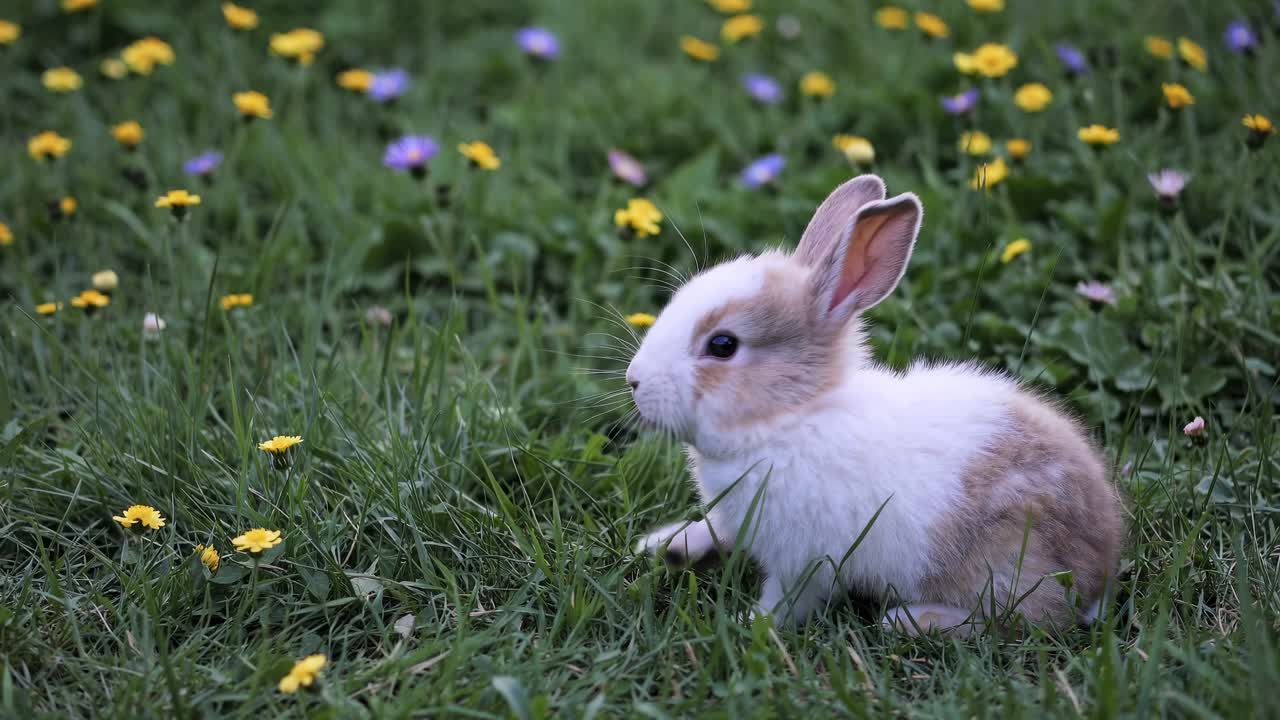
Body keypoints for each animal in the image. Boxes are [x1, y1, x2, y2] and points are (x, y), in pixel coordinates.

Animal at [626, 174, 1124, 633]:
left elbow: (789, 600)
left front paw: (748, 624)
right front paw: (667, 547)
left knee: (1025, 620)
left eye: (723, 345)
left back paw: (912, 620)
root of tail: (1100, 567)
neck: (791, 416)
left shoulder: (804, 560)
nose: (634, 381)